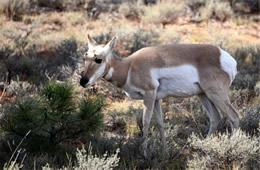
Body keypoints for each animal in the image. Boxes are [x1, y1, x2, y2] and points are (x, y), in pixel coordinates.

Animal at [79, 34, 240, 157]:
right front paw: (165, 152)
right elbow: (160, 123)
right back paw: (205, 147)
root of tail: (226, 58)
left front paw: (143, 154)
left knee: (233, 116)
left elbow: (145, 122)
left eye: (98, 59)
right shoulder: (157, 99)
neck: (129, 66)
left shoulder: (149, 94)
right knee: (215, 117)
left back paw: (233, 148)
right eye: (85, 57)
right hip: (204, 95)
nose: (83, 81)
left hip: (216, 94)